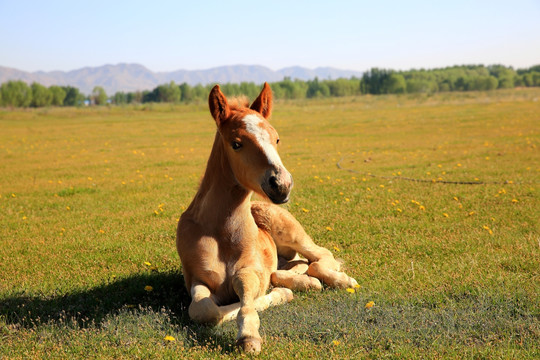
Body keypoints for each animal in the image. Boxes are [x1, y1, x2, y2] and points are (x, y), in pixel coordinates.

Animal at [175, 82, 356, 354]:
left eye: (277, 138)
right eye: (236, 143)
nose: (282, 185)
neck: (219, 231)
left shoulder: (249, 270)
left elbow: (247, 294)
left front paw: (250, 335)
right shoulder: (197, 278)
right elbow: (205, 309)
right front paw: (280, 294)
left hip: (292, 233)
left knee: (320, 257)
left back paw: (341, 280)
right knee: (294, 266)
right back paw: (302, 282)